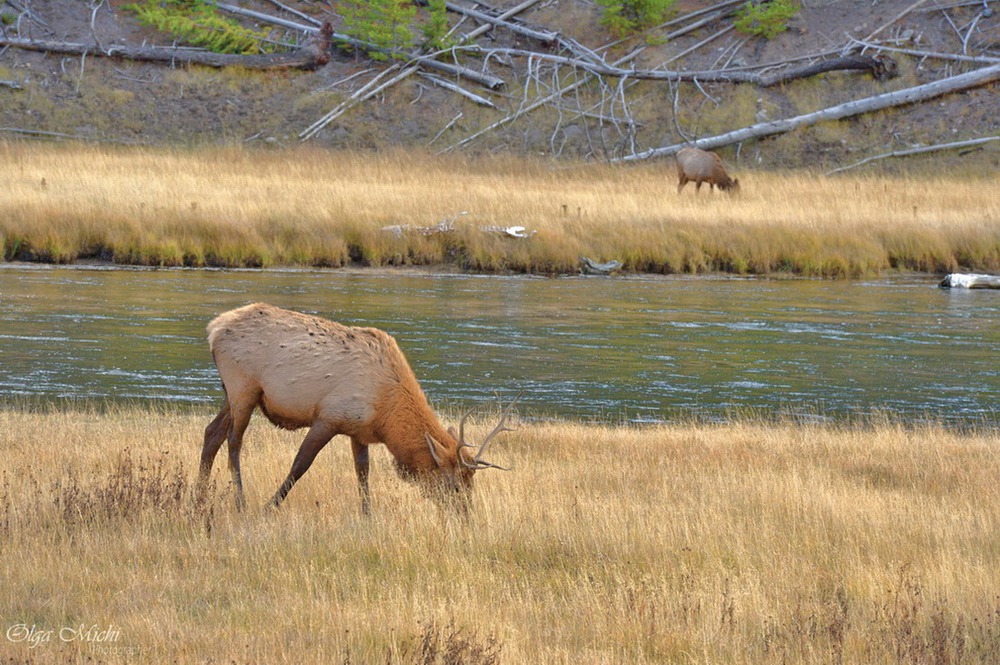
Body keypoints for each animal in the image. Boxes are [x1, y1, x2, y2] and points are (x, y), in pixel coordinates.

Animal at [200, 300, 520, 512]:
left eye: (471, 484)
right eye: (454, 484)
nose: (466, 514)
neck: (386, 414)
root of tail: (213, 328)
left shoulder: (358, 430)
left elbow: (363, 474)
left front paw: (367, 515)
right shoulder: (328, 417)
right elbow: (300, 465)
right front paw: (270, 506)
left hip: (232, 393)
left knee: (211, 433)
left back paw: (198, 496)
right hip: (244, 387)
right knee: (234, 441)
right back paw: (240, 501)